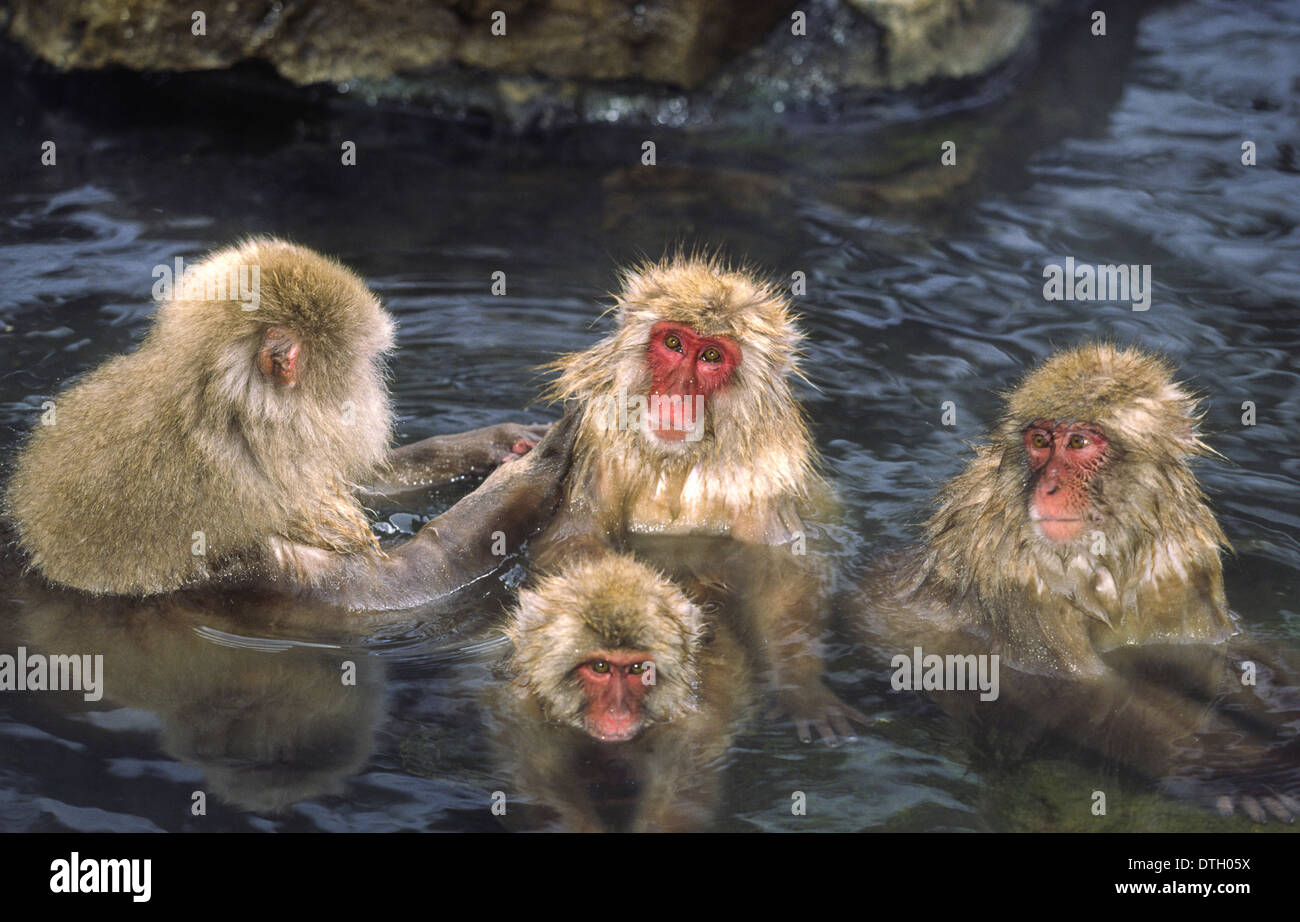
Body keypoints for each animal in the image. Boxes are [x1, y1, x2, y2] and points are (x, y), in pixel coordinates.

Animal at [3, 237, 576, 611]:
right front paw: (530, 474)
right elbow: (398, 589)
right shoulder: (236, 512)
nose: (377, 389)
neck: (233, 422)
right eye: (368, 363)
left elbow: (355, 481)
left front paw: (493, 444)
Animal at [488, 551, 754, 831]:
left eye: (638, 668)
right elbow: (542, 783)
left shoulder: (695, 726)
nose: (618, 713)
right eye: (600, 666)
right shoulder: (518, 710)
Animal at [533, 254, 865, 742]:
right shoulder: (595, 441)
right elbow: (568, 543)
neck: (677, 460)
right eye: (673, 343)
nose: (678, 393)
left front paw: (800, 686)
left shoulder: (763, 476)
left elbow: (780, 570)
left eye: (711, 356)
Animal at [851, 342, 1300, 823]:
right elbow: (1077, 688)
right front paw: (1237, 769)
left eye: (1079, 443)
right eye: (1040, 442)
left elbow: (1204, 648)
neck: (1107, 546)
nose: (1046, 488)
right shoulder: (1013, 570)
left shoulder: (1178, 561)